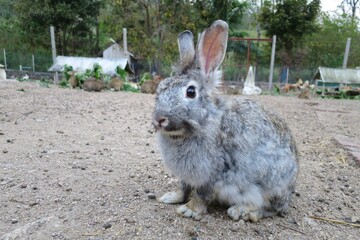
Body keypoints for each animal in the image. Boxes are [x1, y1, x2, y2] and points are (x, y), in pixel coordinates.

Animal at [152, 19, 298, 222]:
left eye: (191, 92)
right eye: (160, 87)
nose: (159, 119)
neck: (205, 120)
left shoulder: (214, 172)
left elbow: (202, 194)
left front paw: (190, 210)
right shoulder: (187, 176)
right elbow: (183, 187)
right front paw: (171, 197)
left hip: (272, 183)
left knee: (270, 209)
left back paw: (242, 211)